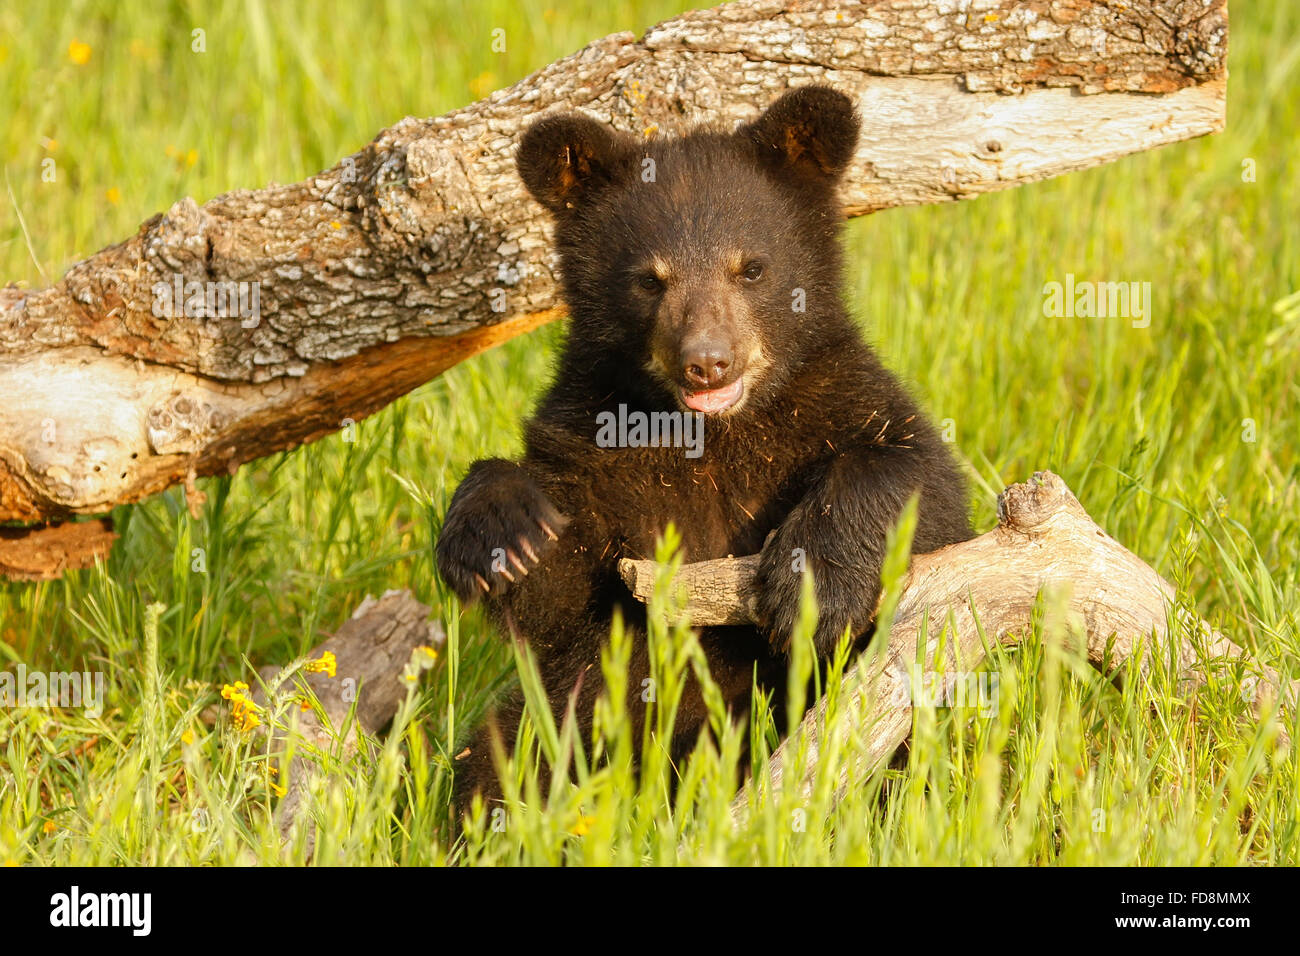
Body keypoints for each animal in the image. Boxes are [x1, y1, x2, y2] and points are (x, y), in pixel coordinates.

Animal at [436, 86, 973, 812]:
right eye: (649, 278)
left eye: (751, 268)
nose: (708, 363)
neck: (715, 436)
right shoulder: (597, 447)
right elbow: (563, 596)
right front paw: (504, 532)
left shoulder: (836, 398)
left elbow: (924, 480)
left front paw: (812, 585)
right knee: (504, 754)